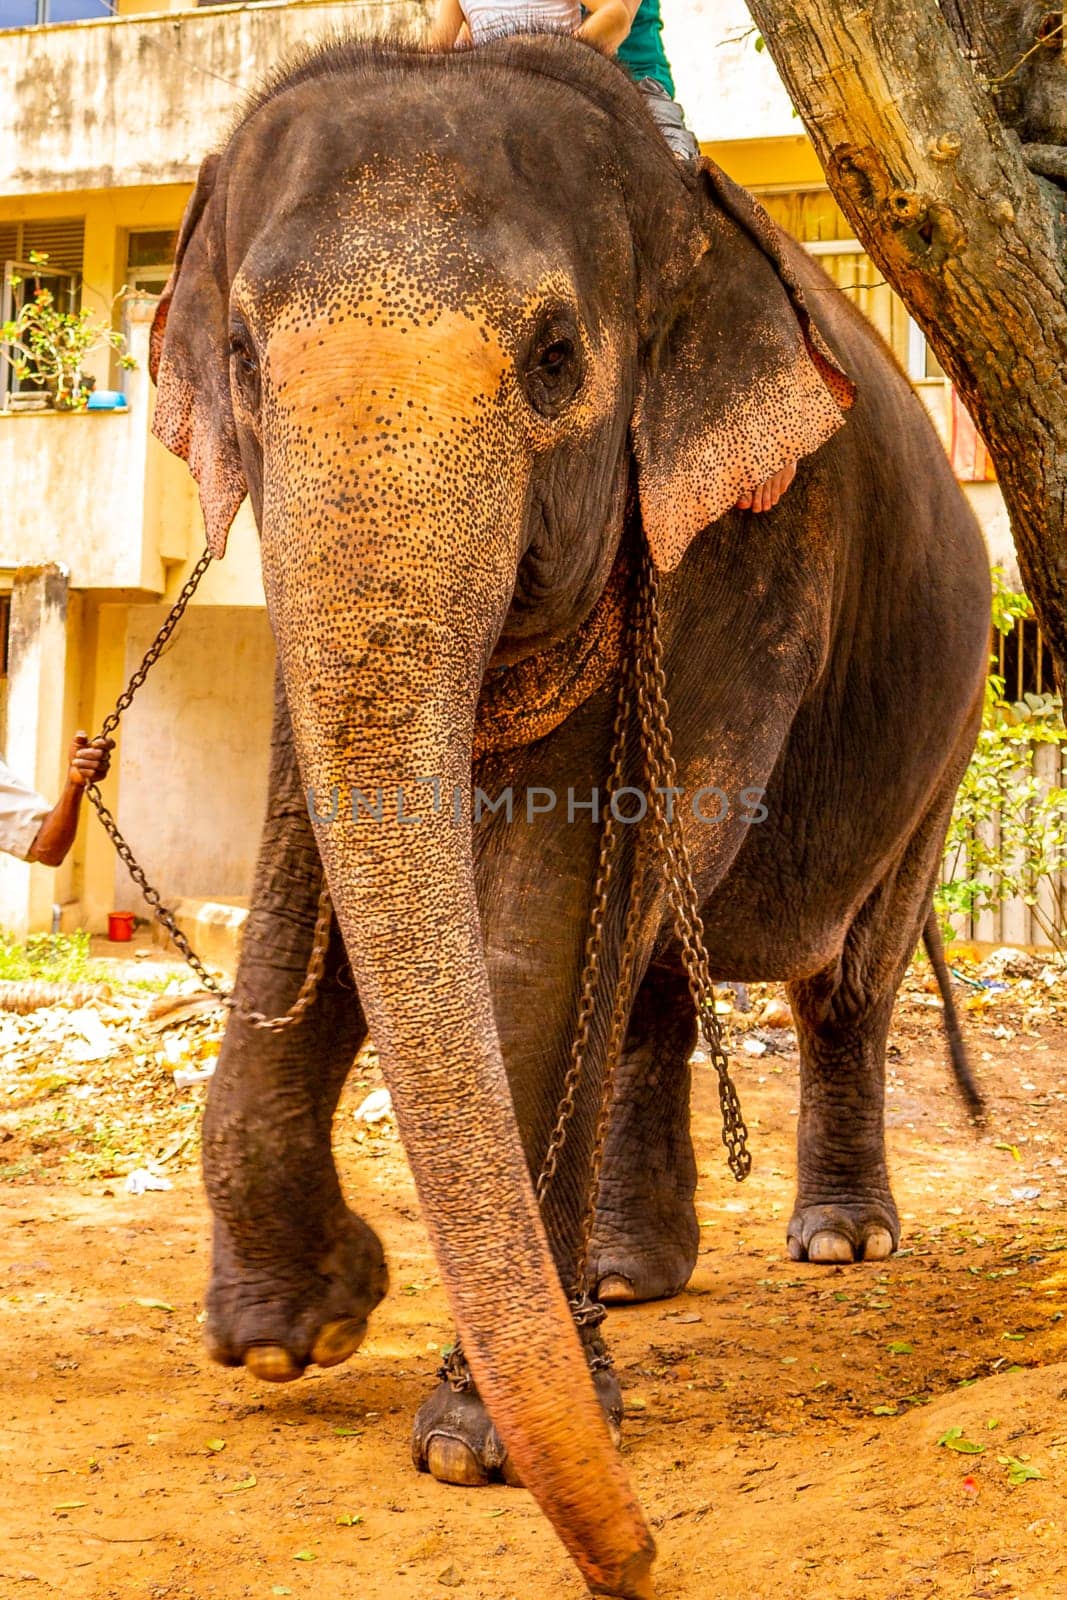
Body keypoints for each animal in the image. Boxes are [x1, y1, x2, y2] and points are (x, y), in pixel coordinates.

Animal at [150, 28, 991, 1600]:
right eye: (240, 358)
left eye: (553, 361)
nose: (639, 1557)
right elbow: (306, 857)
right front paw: (297, 1333)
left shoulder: (739, 547)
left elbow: (545, 919)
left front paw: (468, 1451)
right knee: (657, 973)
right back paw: (621, 1278)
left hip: (949, 723)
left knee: (840, 980)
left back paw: (837, 1247)